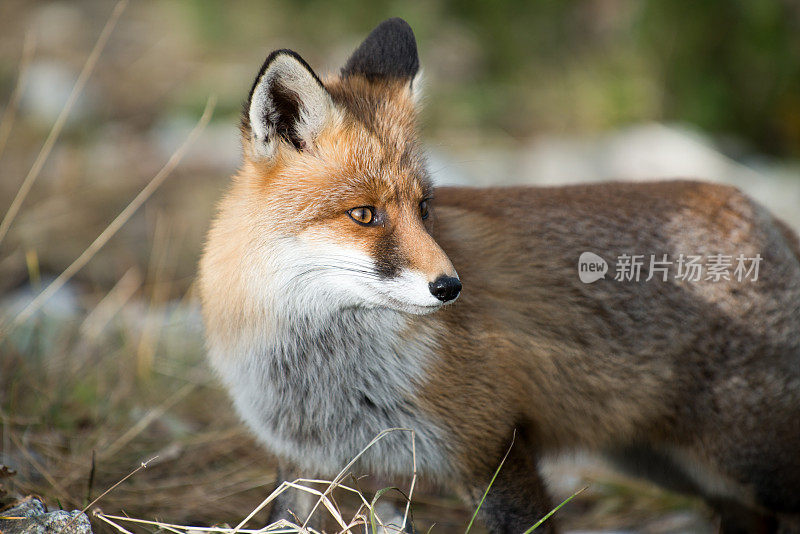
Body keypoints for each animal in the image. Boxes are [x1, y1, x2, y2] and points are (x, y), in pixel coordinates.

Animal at [202, 17, 800, 534]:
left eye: (425, 207)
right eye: (364, 214)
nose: (450, 288)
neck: (320, 368)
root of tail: (763, 214)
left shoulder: (492, 447)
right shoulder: (300, 462)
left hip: (745, 464)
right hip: (665, 465)